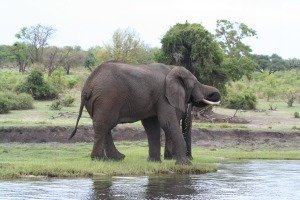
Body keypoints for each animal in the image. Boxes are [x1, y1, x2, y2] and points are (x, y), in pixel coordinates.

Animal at [70, 61, 220, 164]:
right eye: (194, 84)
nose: (191, 158)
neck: (171, 68)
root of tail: (87, 86)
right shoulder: (164, 96)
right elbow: (167, 122)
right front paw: (185, 164)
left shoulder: (156, 98)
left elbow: (152, 125)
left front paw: (154, 162)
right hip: (107, 97)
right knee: (104, 125)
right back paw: (101, 159)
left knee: (104, 126)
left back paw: (116, 159)